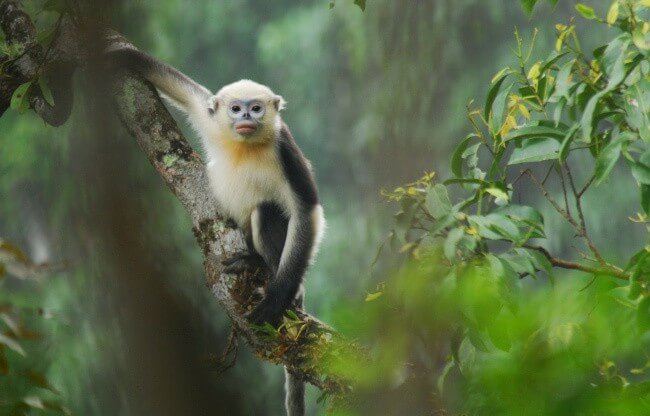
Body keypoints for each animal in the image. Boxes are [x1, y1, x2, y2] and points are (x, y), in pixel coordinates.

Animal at [108, 45, 326, 416]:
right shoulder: (213, 121)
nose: (246, 117)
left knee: (267, 211)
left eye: (256, 108)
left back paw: (273, 278)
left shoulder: (284, 147)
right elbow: (184, 90)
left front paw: (276, 300)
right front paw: (115, 57)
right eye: (236, 108)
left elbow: (307, 210)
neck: (246, 146)